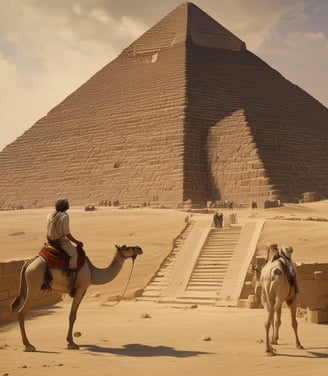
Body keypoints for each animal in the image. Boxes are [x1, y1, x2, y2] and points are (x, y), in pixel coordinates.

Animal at [11, 244, 142, 352]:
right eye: (127, 247)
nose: (139, 248)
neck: (92, 271)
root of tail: (28, 263)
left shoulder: (83, 290)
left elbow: (74, 315)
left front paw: (70, 341)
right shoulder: (80, 287)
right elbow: (72, 315)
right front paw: (72, 343)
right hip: (34, 284)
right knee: (21, 312)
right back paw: (28, 345)